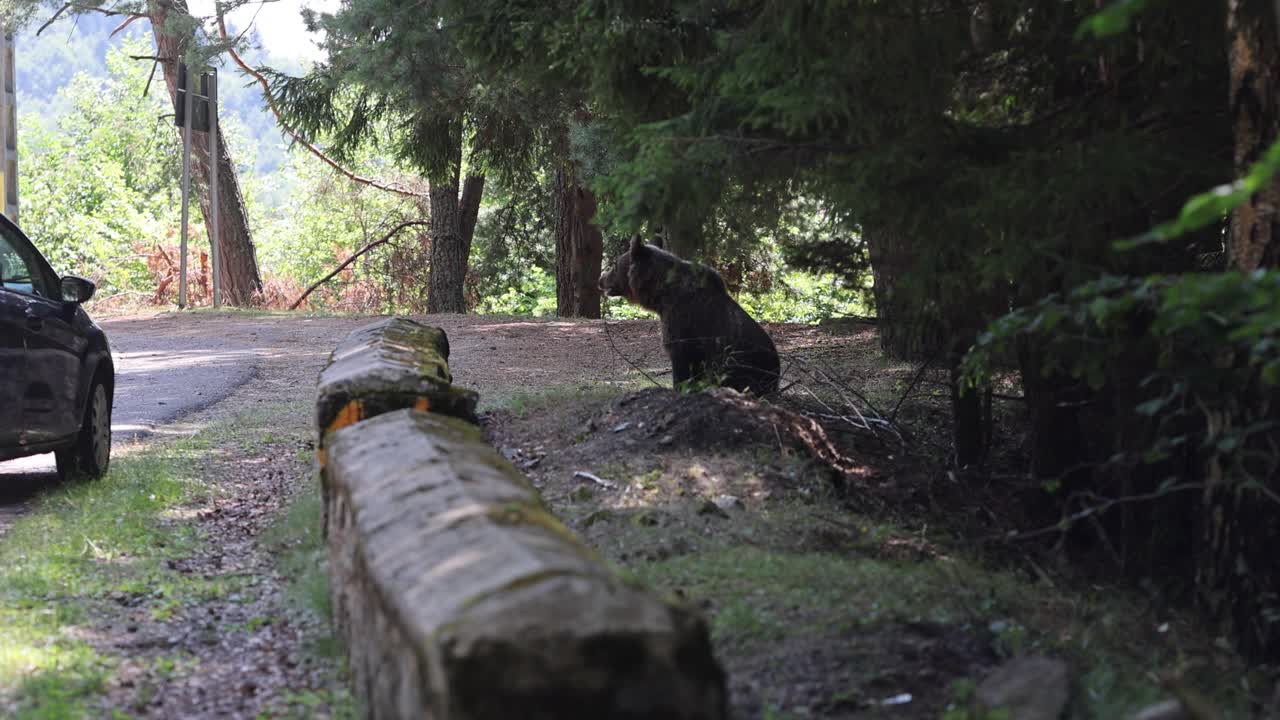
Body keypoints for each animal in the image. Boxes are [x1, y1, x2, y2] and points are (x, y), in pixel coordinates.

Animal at [599, 234, 778, 392]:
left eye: (614, 265)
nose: (601, 279)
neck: (661, 295)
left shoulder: (681, 324)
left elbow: (681, 364)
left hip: (738, 361)